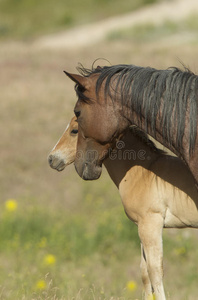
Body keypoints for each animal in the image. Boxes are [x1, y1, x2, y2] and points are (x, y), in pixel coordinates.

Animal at [47, 115, 198, 300]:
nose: (52, 159)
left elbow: (155, 271)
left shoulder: (150, 224)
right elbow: (144, 273)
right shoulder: (142, 227)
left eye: (74, 130)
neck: (144, 172)